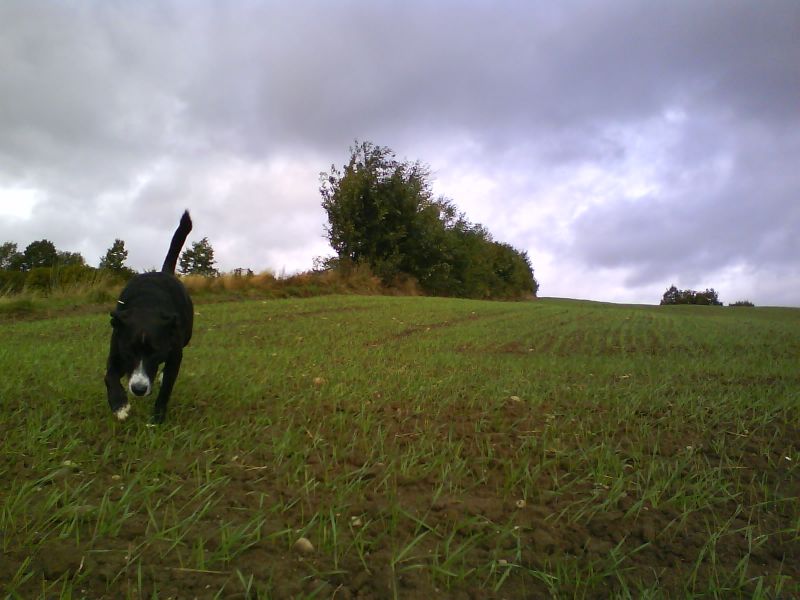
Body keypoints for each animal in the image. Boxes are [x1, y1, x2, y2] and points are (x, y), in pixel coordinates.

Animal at [104, 211, 194, 424]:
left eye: (155, 352)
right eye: (129, 350)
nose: (138, 389)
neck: (147, 305)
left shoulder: (174, 354)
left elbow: (166, 388)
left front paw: (157, 419)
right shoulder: (118, 349)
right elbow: (109, 376)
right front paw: (119, 405)